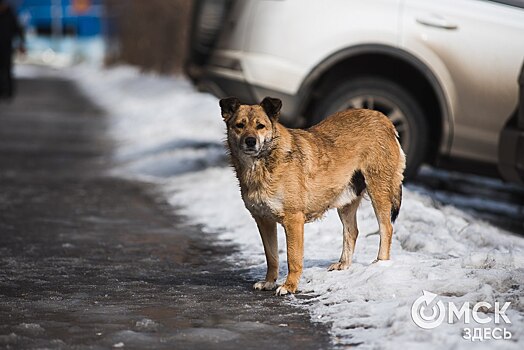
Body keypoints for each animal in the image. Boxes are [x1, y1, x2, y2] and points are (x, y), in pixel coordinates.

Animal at [218, 96, 406, 296]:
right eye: (239, 125)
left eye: (260, 126)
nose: (250, 141)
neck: (262, 163)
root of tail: (384, 119)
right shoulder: (263, 220)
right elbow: (272, 256)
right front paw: (269, 282)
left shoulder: (293, 220)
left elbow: (293, 258)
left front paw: (289, 286)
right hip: (346, 200)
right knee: (352, 232)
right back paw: (344, 264)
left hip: (379, 190)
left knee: (386, 228)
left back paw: (380, 264)